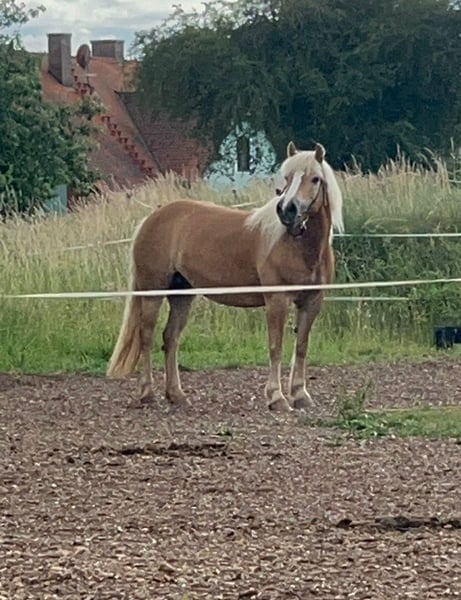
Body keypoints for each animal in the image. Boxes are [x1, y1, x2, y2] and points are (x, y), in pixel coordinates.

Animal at [107, 141, 344, 412]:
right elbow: (276, 347)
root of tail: (151, 218)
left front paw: (300, 395)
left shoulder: (312, 302)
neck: (298, 246)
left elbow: (302, 347)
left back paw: (177, 395)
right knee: (146, 337)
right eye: (287, 178)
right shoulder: (277, 300)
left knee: (171, 338)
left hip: (182, 295)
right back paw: (147, 394)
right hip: (152, 293)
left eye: (315, 179)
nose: (287, 210)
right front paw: (277, 397)